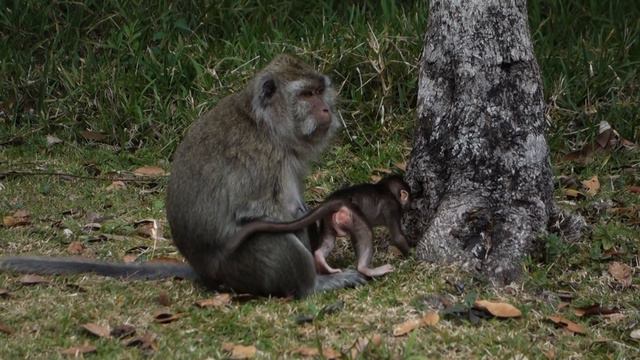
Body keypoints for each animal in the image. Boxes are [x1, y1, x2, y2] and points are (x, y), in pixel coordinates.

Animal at [1, 55, 364, 298]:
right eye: (306, 95)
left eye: (320, 91)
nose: (326, 109)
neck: (265, 124)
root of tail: (205, 271)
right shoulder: (265, 160)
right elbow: (264, 214)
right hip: (239, 267)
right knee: (270, 236)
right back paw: (313, 286)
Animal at [225, 174, 412, 278]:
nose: (410, 201)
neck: (386, 190)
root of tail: (337, 199)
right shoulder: (392, 208)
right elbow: (397, 237)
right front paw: (411, 255)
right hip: (353, 216)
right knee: (366, 234)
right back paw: (366, 269)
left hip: (328, 220)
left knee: (328, 241)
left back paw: (322, 261)